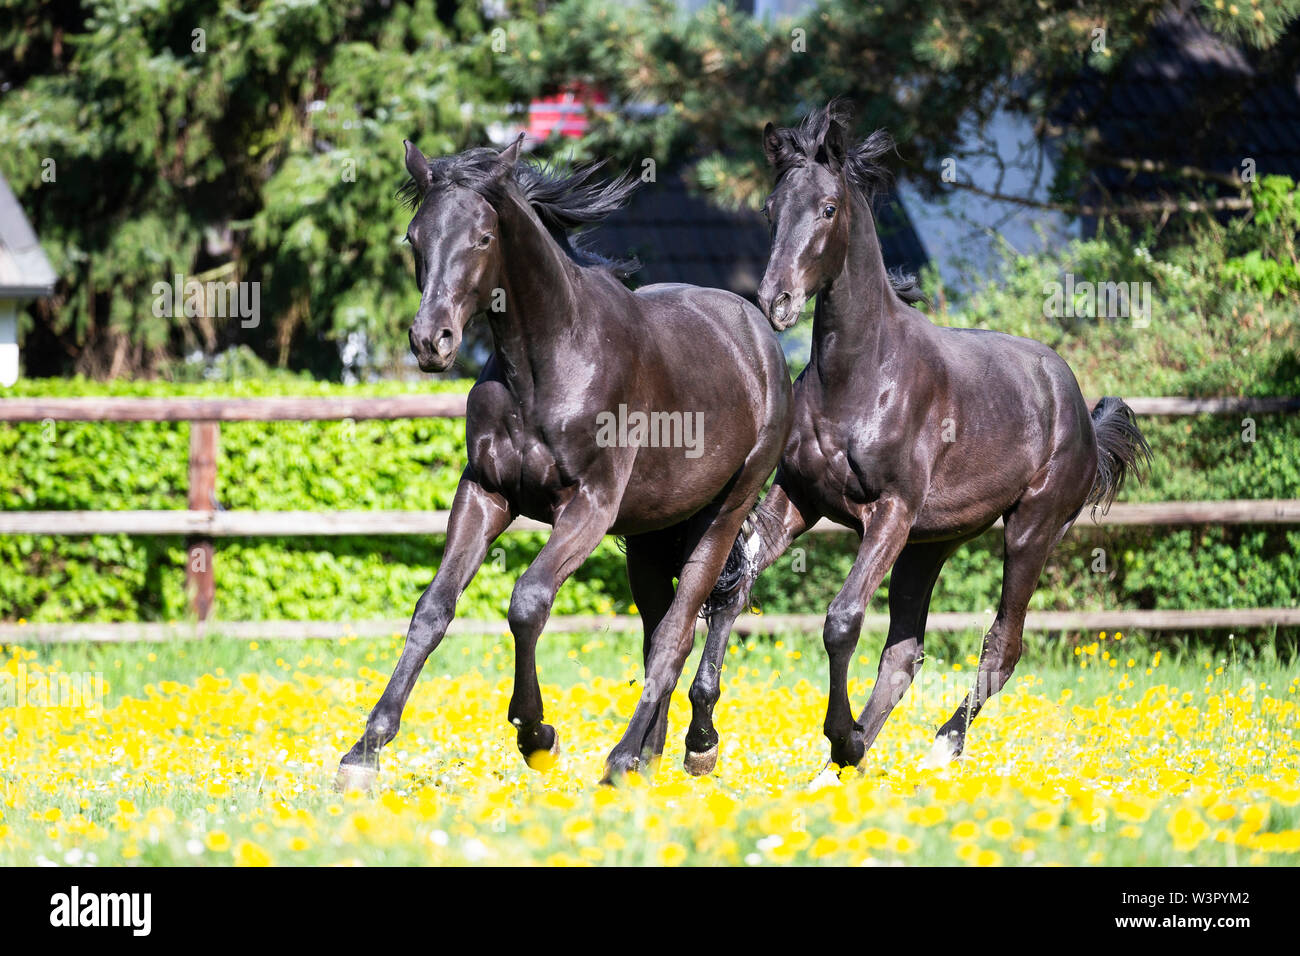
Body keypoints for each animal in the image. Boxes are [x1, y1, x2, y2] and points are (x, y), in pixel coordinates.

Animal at [335, 138, 790, 790]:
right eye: (414, 236)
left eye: (483, 237)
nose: (431, 341)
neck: (547, 364)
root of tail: (758, 335)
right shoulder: (485, 494)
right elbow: (432, 609)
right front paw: (365, 750)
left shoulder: (589, 508)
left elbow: (527, 602)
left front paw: (536, 734)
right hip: (651, 537)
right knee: (659, 630)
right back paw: (650, 756)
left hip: (723, 513)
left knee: (686, 628)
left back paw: (648, 755)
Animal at [681, 102, 1149, 780]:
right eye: (771, 208)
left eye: (828, 208)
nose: (777, 301)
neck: (860, 377)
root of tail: (1080, 408)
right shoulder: (796, 500)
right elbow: (730, 592)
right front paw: (701, 741)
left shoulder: (890, 511)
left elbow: (842, 620)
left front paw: (839, 735)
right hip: (933, 542)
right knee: (905, 653)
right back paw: (848, 763)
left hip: (1030, 529)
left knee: (1002, 645)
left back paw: (934, 745)